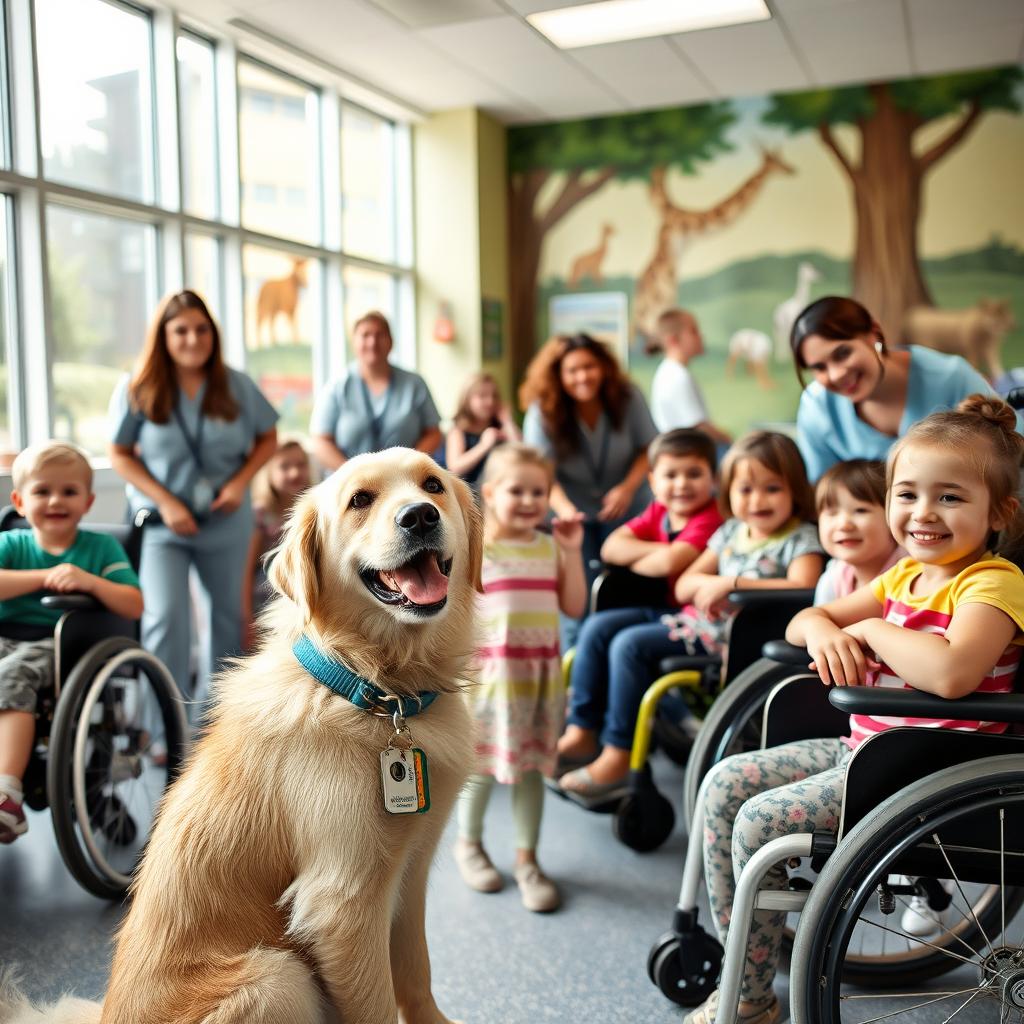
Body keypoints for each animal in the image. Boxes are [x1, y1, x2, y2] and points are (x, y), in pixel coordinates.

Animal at [1, 450, 479, 1024]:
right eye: (360, 500)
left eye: (433, 485)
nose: (420, 517)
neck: (371, 686)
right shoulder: (342, 901)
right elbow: (379, 1006)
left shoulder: (411, 872)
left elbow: (416, 975)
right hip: (279, 976)